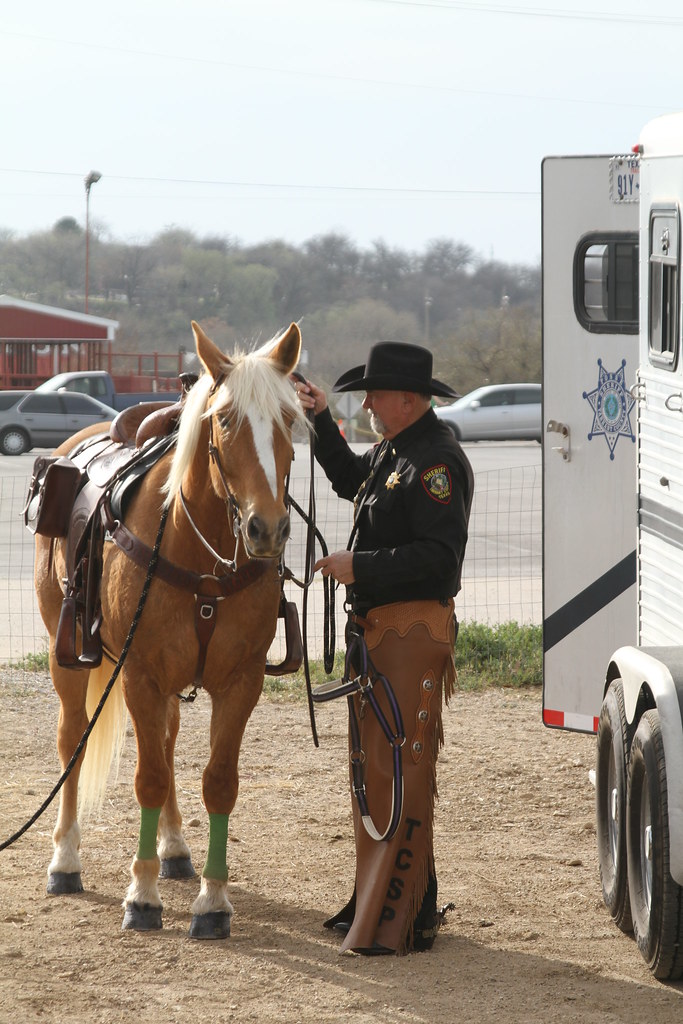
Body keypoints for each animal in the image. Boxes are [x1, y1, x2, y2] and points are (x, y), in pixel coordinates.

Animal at [33, 320, 307, 938]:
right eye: (224, 420)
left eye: (289, 418)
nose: (267, 528)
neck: (202, 555)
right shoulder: (140, 674)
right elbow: (149, 779)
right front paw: (142, 895)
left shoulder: (240, 683)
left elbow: (217, 781)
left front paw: (213, 900)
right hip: (68, 657)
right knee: (73, 739)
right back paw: (65, 860)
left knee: (165, 740)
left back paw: (177, 849)